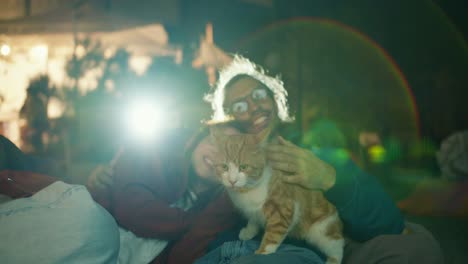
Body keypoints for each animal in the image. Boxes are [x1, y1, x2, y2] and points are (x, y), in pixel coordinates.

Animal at [211, 127, 344, 262]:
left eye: (243, 167)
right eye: (224, 167)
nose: (232, 181)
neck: (248, 190)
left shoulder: (284, 210)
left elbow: (273, 235)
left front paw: (262, 253)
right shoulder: (252, 210)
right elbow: (253, 219)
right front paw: (249, 231)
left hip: (322, 229)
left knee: (337, 246)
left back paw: (333, 260)